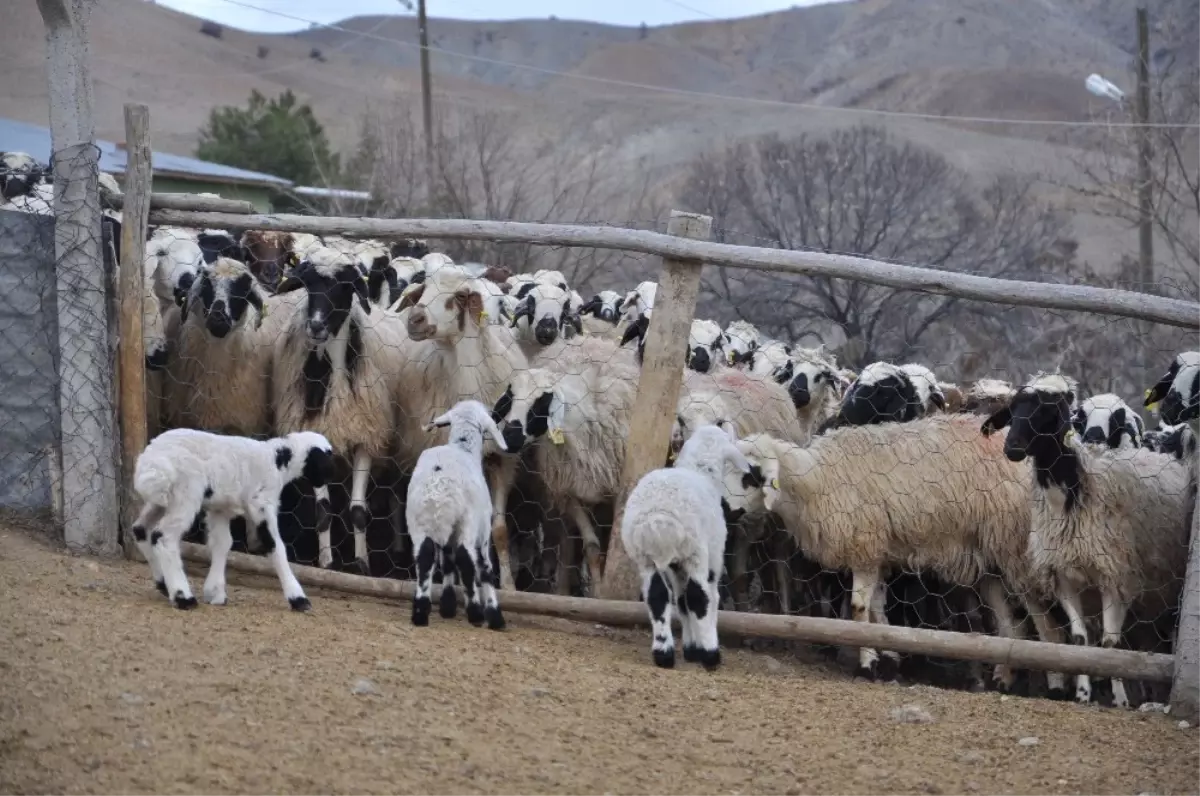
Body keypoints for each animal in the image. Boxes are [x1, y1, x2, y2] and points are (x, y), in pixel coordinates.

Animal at [129, 429, 333, 609]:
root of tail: (150, 463)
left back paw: (163, 584)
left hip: (162, 501)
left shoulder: (220, 509)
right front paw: (298, 598)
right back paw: (183, 597)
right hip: (186, 494)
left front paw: (215, 593)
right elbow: (275, 545)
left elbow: (222, 544)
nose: (328, 481)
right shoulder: (261, 504)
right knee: (163, 537)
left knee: (140, 529)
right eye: (326, 457)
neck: (278, 462)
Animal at [408, 401, 511, 633]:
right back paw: (476, 613)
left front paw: (447, 606)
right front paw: (494, 615)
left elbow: (447, 562)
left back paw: (420, 612)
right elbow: (484, 568)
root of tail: (437, 487)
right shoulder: (482, 531)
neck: (463, 447)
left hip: (418, 522)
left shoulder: (447, 533)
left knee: (425, 557)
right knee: (466, 559)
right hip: (468, 522)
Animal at [619, 427, 748, 667]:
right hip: (696, 552)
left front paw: (690, 648)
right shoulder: (713, 558)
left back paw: (663, 652)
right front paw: (701, 648)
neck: (703, 472)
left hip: (646, 558)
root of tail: (658, 519)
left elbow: (681, 602)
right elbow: (709, 598)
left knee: (657, 596)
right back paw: (711, 654)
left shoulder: (676, 566)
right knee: (699, 597)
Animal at [984, 369, 1190, 705]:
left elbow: (1110, 644)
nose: (1012, 447)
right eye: (1012, 410)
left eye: (1049, 411)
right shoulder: (1064, 577)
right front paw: (1082, 694)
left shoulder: (1115, 577)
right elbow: (1080, 640)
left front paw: (1120, 700)